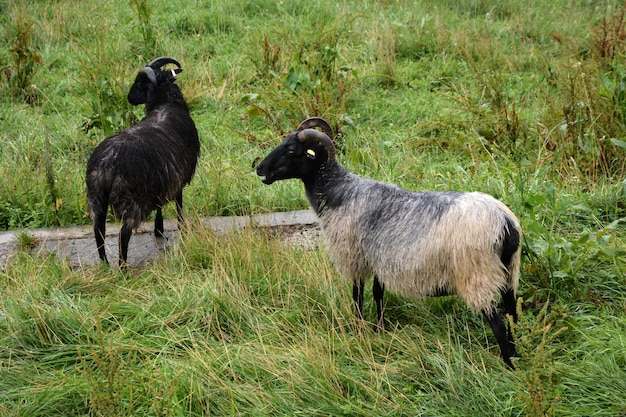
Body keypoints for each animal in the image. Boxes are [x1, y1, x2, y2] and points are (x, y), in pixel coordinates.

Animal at [86, 57, 199, 264]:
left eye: (140, 83)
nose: (130, 97)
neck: (166, 103)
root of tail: (107, 164)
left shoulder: (162, 181)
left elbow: (160, 206)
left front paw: (159, 230)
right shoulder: (178, 177)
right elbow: (179, 203)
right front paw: (181, 228)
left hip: (96, 196)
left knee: (98, 229)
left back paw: (105, 263)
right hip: (134, 200)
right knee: (124, 234)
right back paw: (122, 266)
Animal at [255, 118, 520, 368]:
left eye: (291, 150)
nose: (258, 168)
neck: (337, 191)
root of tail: (505, 223)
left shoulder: (355, 256)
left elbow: (357, 294)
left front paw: (360, 329)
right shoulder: (379, 257)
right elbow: (378, 293)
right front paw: (379, 329)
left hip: (477, 274)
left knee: (497, 323)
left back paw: (508, 364)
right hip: (509, 273)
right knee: (512, 315)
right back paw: (518, 354)